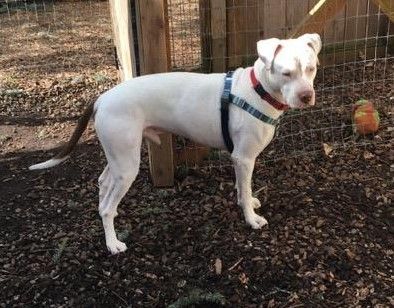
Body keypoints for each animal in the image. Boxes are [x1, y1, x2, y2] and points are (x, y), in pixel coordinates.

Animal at [30, 34, 320, 255]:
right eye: (286, 73)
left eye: (311, 68)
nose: (307, 96)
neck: (258, 89)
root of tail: (102, 97)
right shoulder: (244, 157)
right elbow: (245, 193)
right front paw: (251, 219)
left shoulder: (240, 159)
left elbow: (243, 188)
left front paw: (247, 199)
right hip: (127, 166)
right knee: (108, 208)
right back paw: (113, 243)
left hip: (119, 157)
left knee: (103, 183)